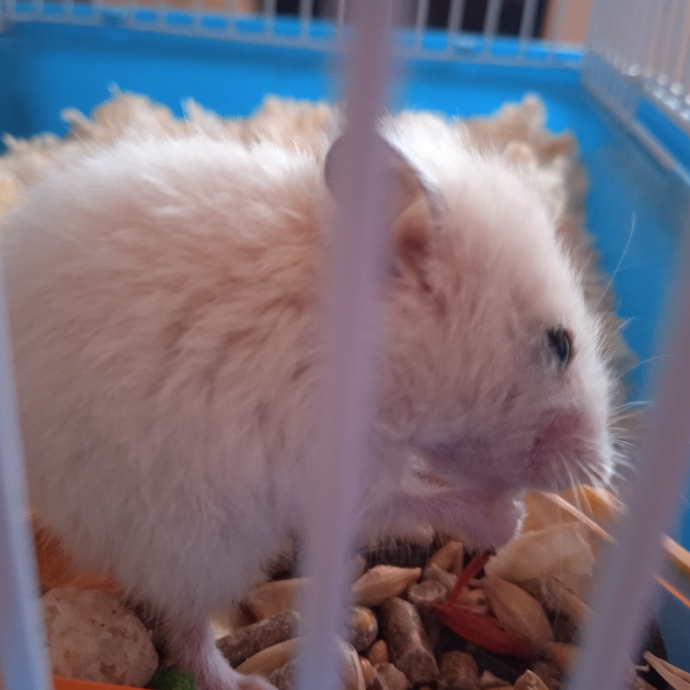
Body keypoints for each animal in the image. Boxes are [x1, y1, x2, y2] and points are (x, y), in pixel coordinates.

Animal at [2, 116, 614, 690]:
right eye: (560, 344)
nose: (604, 472)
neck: (373, 340)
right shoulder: (332, 464)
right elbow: (412, 501)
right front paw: (509, 520)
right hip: (193, 542)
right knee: (184, 627)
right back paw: (242, 682)